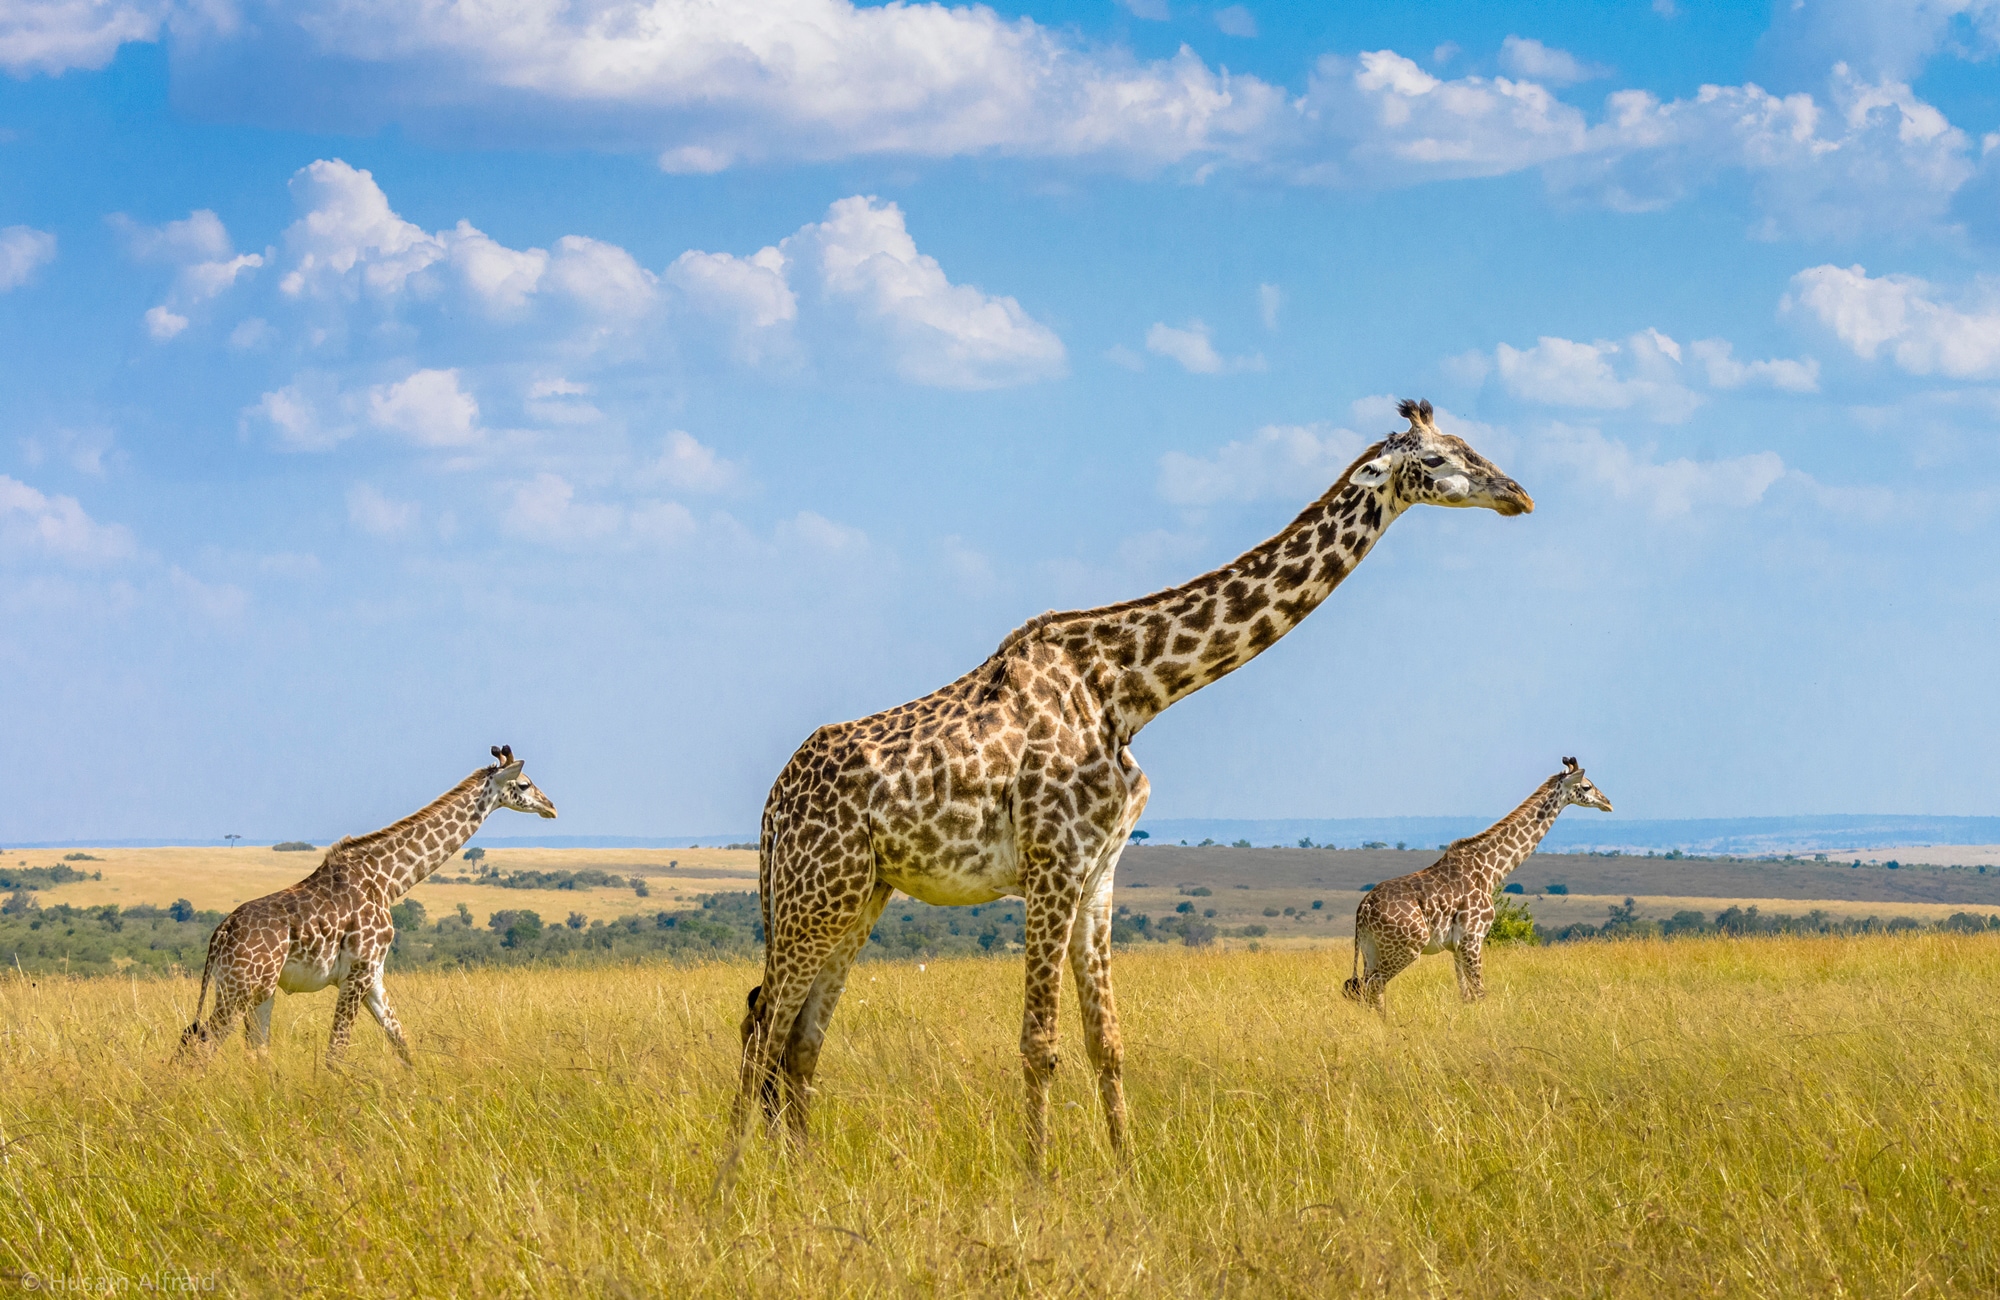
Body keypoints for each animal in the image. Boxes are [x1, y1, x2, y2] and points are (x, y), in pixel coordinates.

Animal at [728, 398, 1536, 1176]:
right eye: (1439, 458)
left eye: (1471, 444)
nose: (1518, 495)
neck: (1129, 691)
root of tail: (771, 806)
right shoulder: (1051, 863)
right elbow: (1040, 1041)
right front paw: (1038, 1182)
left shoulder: (1099, 871)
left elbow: (1106, 1041)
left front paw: (1128, 1173)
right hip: (811, 896)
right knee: (761, 1025)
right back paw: (733, 1183)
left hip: (856, 896)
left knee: (797, 1040)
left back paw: (803, 1174)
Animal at [1336, 748, 1616, 1012]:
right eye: (1587, 786)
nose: (1609, 803)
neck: (1491, 870)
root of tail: (1363, 909)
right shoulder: (1473, 937)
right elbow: (1480, 993)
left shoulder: (1457, 945)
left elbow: (1466, 995)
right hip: (1408, 946)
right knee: (1374, 985)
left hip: (1372, 948)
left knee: (1365, 987)